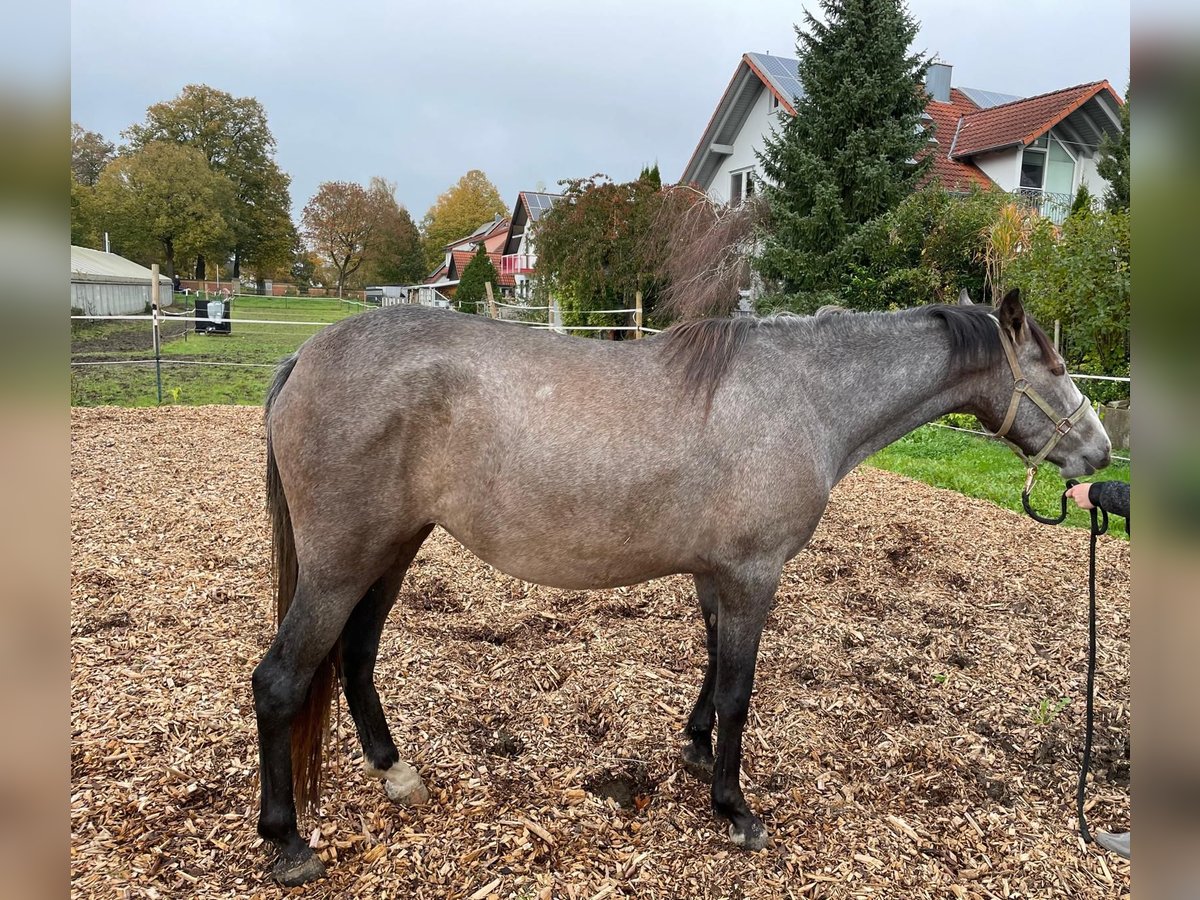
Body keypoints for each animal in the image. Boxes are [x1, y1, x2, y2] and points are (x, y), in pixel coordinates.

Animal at [250, 290, 1104, 888]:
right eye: (1058, 371)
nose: (1099, 451)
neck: (804, 395)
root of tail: (304, 361)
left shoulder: (716, 575)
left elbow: (710, 670)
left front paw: (694, 750)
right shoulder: (754, 576)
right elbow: (738, 692)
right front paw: (735, 809)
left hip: (391, 550)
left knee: (356, 658)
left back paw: (395, 772)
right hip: (341, 565)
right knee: (280, 681)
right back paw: (287, 842)